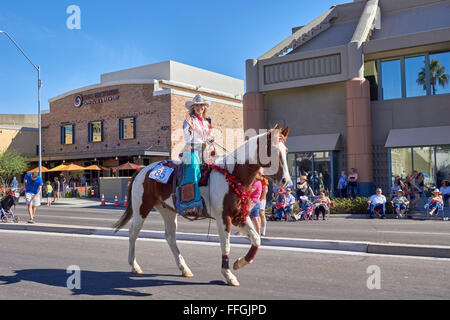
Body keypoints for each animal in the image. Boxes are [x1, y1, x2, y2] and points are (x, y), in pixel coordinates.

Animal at [112, 124, 292, 286]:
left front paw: (240, 262)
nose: (285, 180)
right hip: (141, 208)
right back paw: (134, 266)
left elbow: (256, 239)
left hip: (167, 210)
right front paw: (228, 275)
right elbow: (226, 245)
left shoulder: (240, 216)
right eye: (272, 150)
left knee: (170, 237)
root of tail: (143, 169)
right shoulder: (223, 218)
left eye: (286, 151)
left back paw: (184, 268)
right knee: (133, 233)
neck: (232, 174)